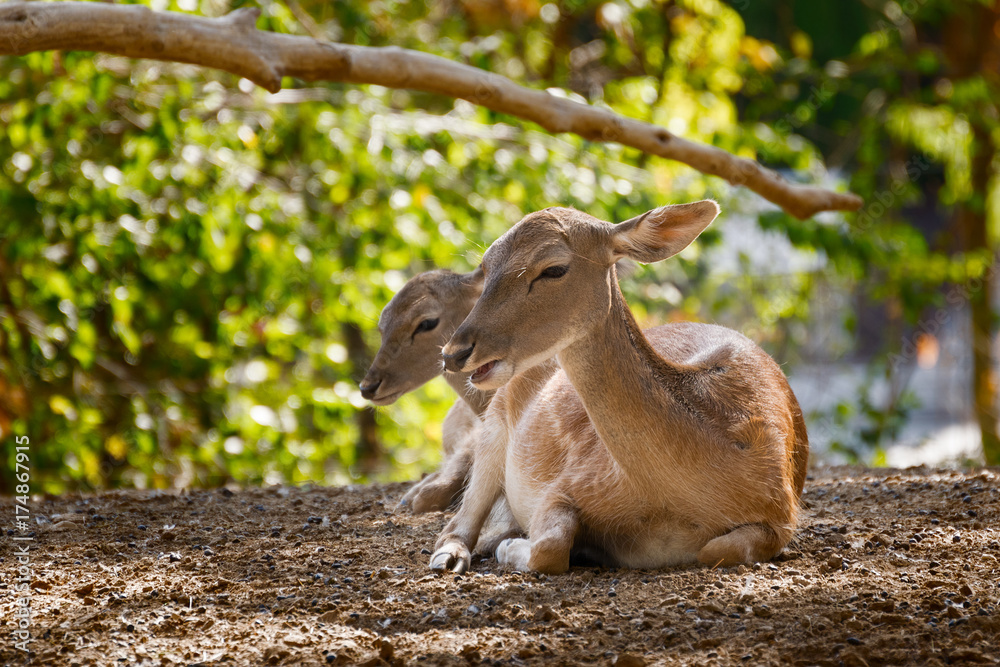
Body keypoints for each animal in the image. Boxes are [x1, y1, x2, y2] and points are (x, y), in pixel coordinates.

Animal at [429, 201, 809, 574]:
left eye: (554, 269)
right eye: (485, 265)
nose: (453, 352)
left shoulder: (782, 514)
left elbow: (717, 548)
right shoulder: (567, 482)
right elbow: (551, 544)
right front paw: (515, 548)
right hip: (494, 425)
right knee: (459, 518)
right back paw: (450, 555)